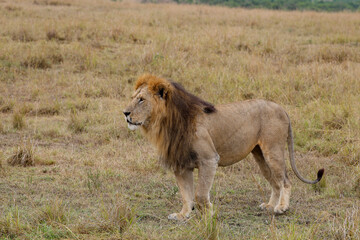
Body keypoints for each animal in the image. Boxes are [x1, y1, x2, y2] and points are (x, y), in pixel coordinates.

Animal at [124, 73, 324, 221]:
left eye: (141, 100)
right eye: (133, 98)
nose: (125, 113)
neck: (166, 124)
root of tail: (281, 108)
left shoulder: (209, 159)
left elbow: (200, 194)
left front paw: (209, 214)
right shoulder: (181, 164)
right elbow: (186, 194)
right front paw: (183, 215)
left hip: (273, 150)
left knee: (285, 181)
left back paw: (281, 207)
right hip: (259, 154)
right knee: (275, 182)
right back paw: (270, 206)